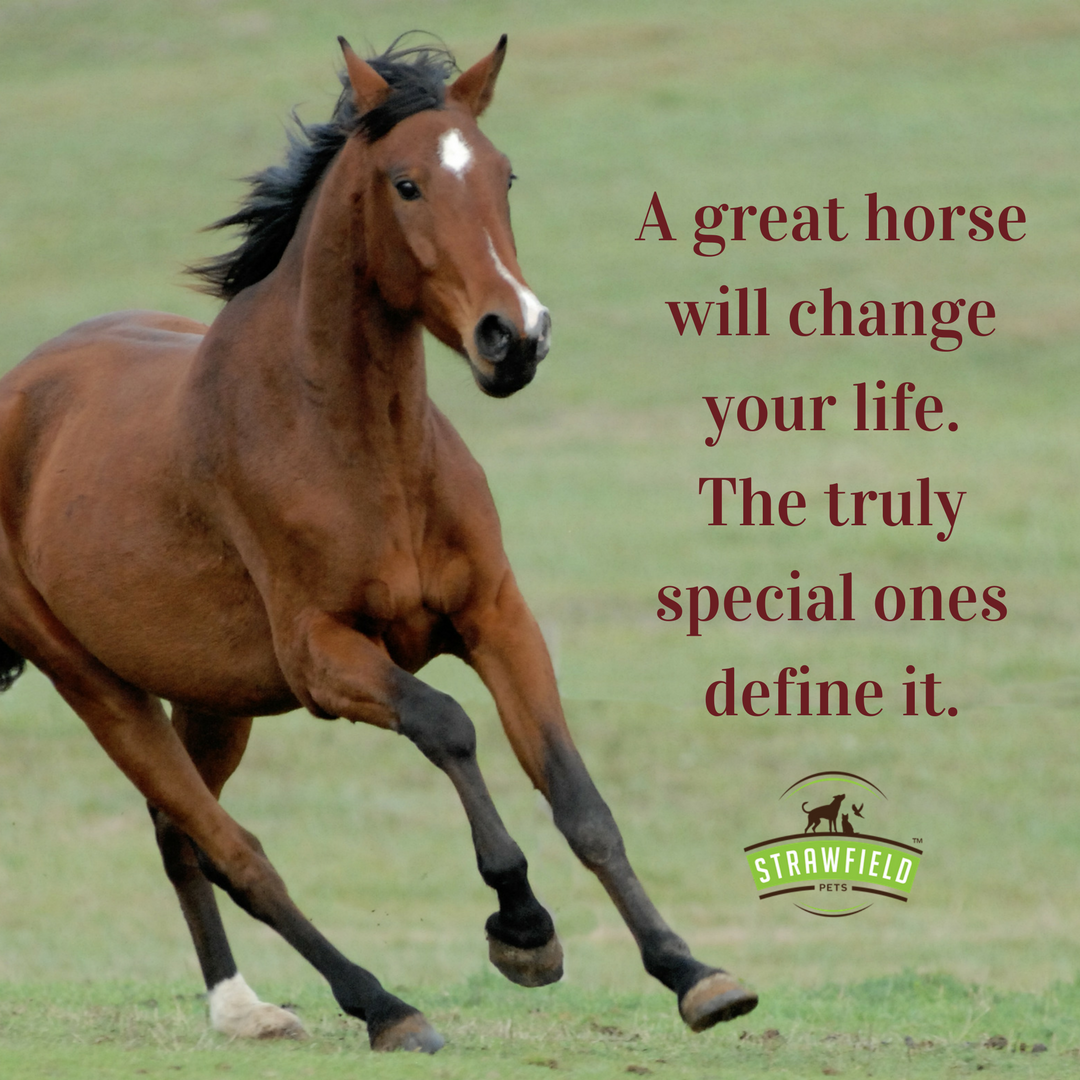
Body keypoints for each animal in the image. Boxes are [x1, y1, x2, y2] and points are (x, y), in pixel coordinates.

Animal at [0, 35, 757, 1052]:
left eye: (505, 175)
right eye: (406, 185)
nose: (515, 338)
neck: (364, 449)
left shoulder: (496, 617)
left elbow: (580, 801)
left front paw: (693, 973)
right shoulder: (325, 657)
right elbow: (446, 725)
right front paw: (523, 928)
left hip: (212, 698)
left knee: (179, 834)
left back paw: (242, 1009)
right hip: (97, 686)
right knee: (234, 849)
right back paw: (384, 1006)